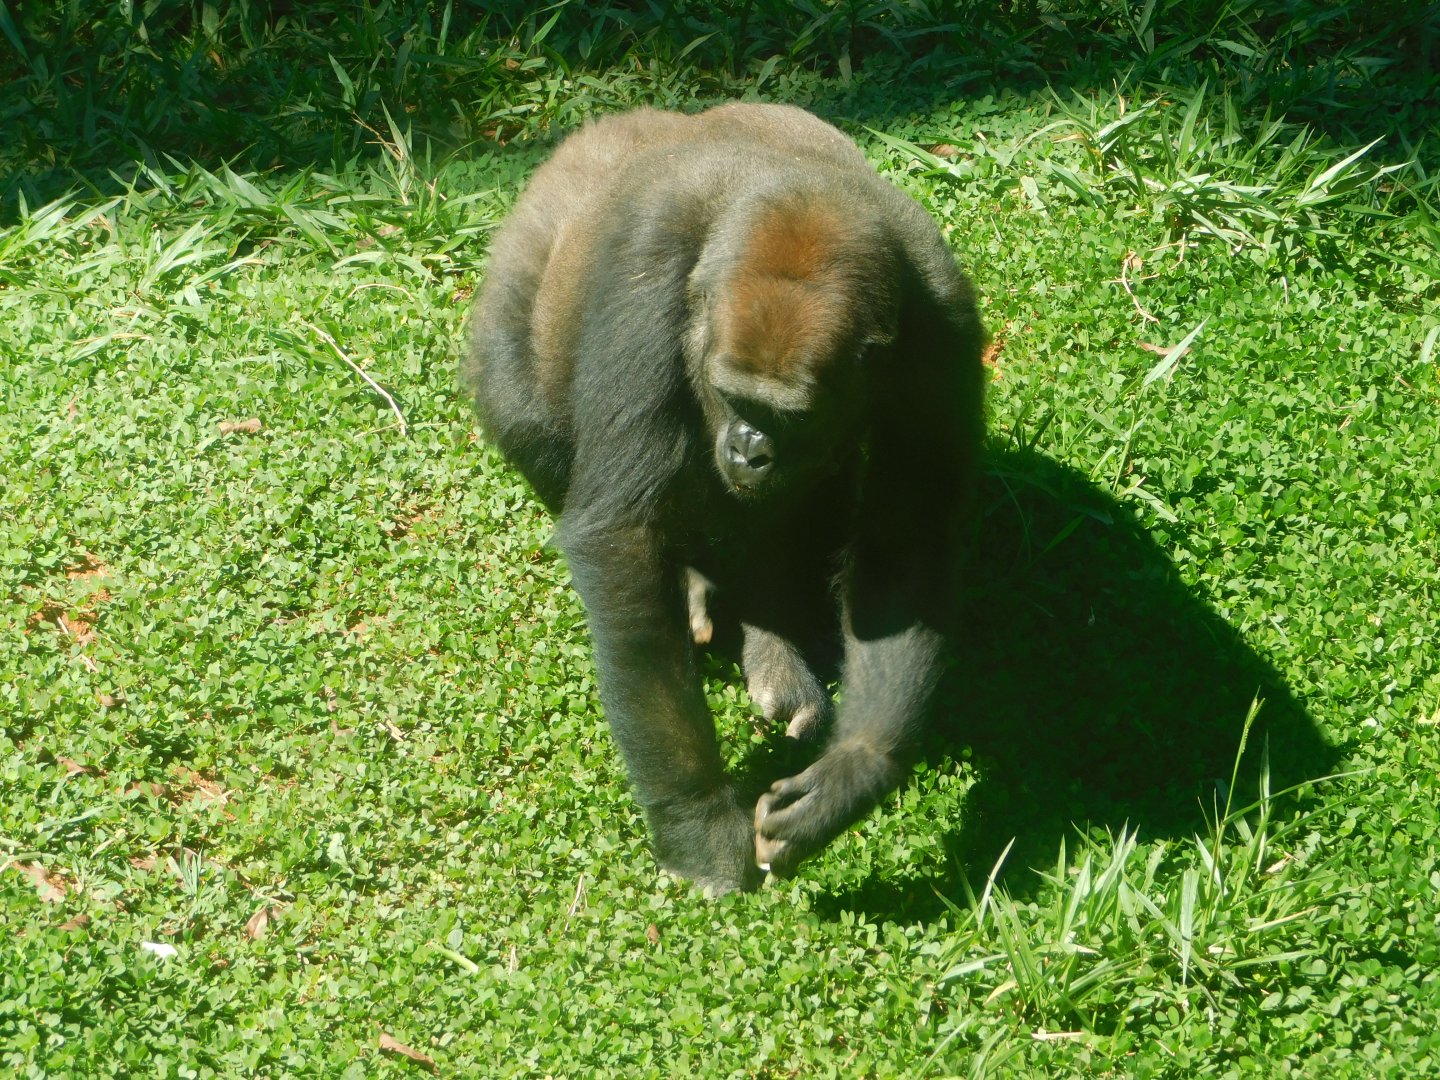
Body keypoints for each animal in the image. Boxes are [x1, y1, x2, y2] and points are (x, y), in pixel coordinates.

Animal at [463, 103, 984, 894]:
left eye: (790, 416)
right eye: (734, 395)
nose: (748, 448)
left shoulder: (938, 319)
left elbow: (906, 540)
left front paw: (855, 769)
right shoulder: (646, 272)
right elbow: (622, 537)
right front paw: (697, 816)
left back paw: (771, 639)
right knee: (522, 407)